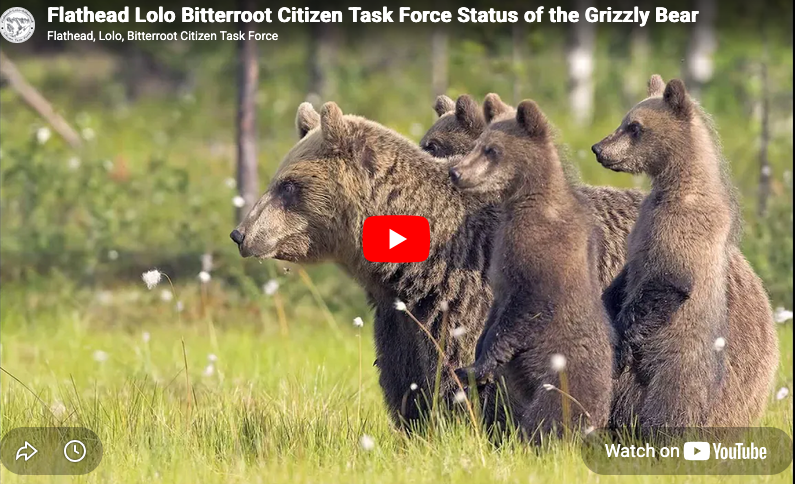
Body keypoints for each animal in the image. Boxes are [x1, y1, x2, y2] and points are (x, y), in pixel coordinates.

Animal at [232, 101, 499, 429]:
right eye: (277, 181)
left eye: (289, 185)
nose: (240, 234)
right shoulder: (399, 322)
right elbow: (404, 380)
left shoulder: (462, 297)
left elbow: (458, 369)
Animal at [451, 100, 614, 439]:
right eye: (477, 144)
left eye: (492, 150)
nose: (456, 172)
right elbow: (495, 313)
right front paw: (475, 361)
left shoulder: (541, 254)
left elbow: (526, 309)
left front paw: (476, 366)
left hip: (563, 383)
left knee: (549, 419)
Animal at [592, 75, 779, 427]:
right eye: (624, 121)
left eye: (634, 126)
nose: (598, 148)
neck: (676, 186)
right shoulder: (641, 229)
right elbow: (625, 277)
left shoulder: (681, 230)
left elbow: (667, 282)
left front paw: (620, 343)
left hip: (679, 366)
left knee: (668, 406)